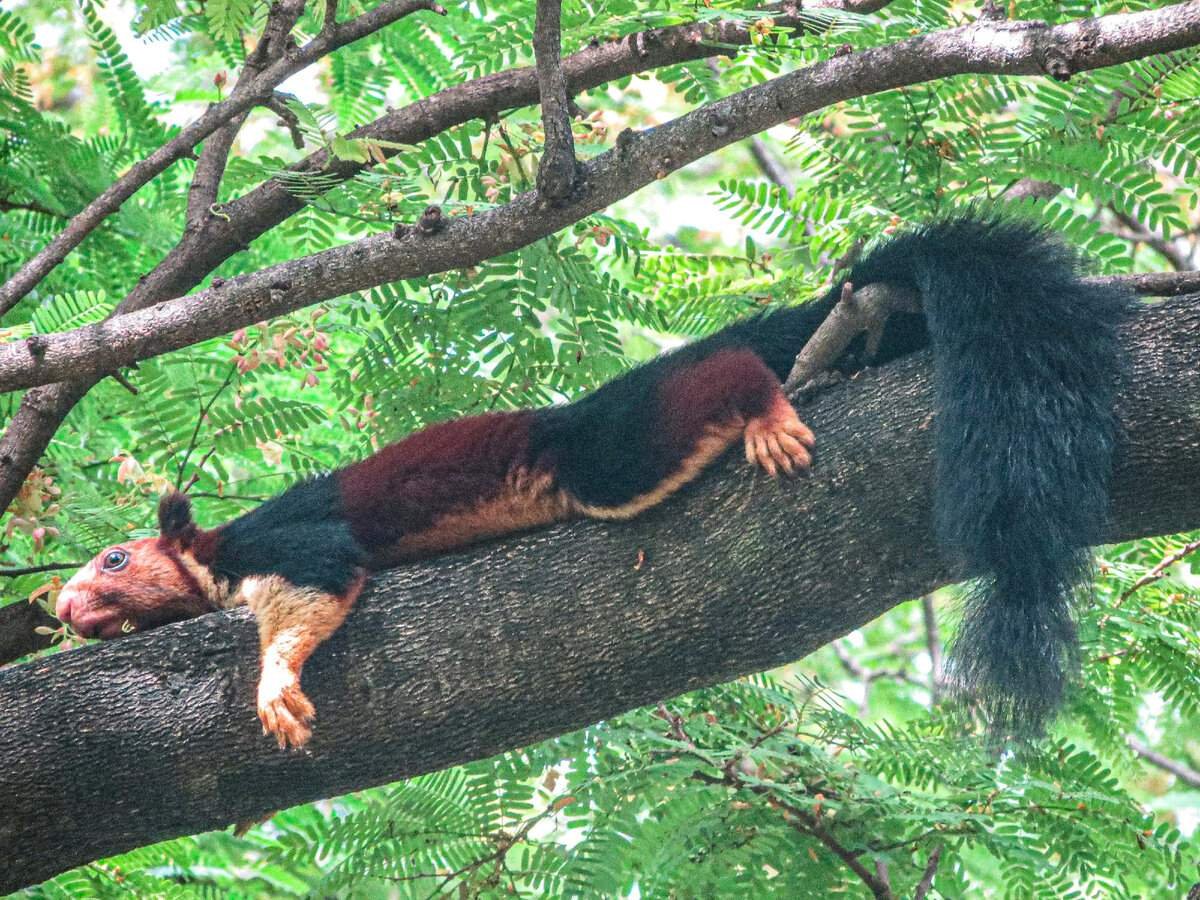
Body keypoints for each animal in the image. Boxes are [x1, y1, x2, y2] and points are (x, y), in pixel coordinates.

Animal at [56, 217, 1128, 748]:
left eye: (113, 559)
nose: (62, 608)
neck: (212, 555)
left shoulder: (282, 539)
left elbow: (317, 581)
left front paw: (276, 686)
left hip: (609, 455)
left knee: (717, 379)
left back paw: (764, 405)